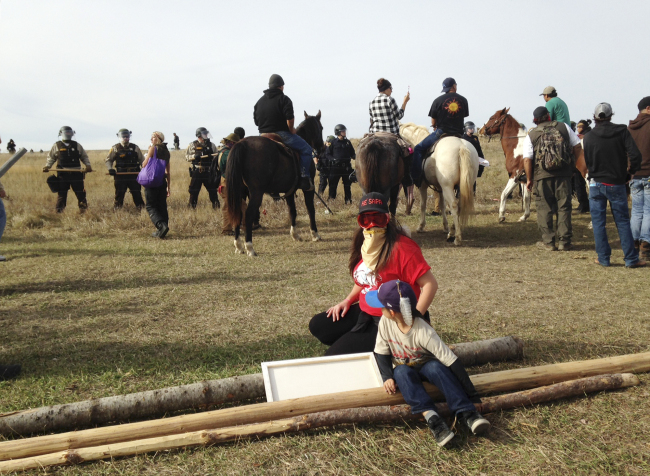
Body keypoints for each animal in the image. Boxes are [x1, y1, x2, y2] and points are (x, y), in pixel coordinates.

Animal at [225, 112, 324, 256]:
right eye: (321, 128)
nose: (322, 148)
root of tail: (241, 144)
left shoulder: (289, 191)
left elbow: (292, 211)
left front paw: (295, 235)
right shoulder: (309, 189)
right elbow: (310, 209)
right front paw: (315, 234)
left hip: (240, 192)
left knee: (238, 213)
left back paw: (238, 245)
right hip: (256, 192)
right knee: (248, 215)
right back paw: (250, 247)